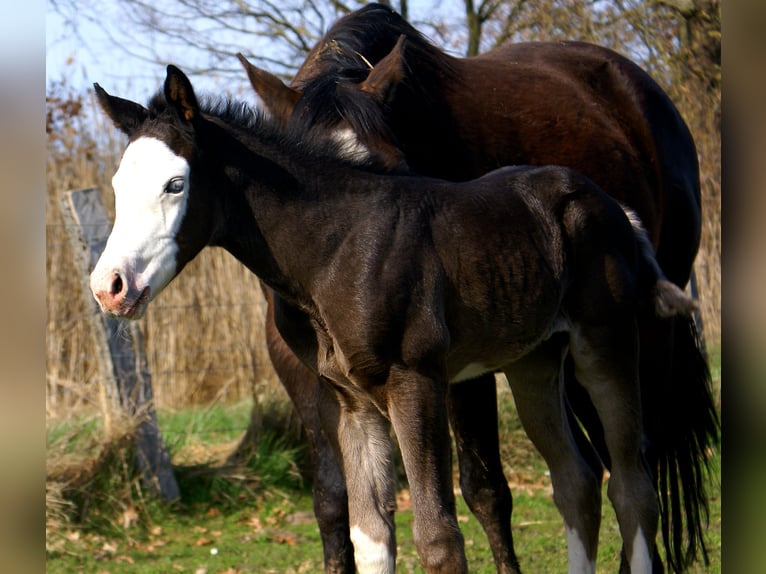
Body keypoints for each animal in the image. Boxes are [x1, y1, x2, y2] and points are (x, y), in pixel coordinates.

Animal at [90, 65, 698, 574]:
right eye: (118, 187)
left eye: (175, 184)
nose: (109, 287)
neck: (337, 247)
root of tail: (614, 208)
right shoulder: (351, 403)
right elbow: (372, 537)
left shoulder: (416, 381)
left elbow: (439, 537)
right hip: (534, 362)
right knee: (577, 482)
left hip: (606, 346)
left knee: (632, 488)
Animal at [237, 4, 719, 571]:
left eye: (396, 172)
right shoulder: (302, 372)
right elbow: (334, 504)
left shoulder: (455, 369)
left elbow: (485, 489)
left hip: (633, 333)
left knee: (638, 462)